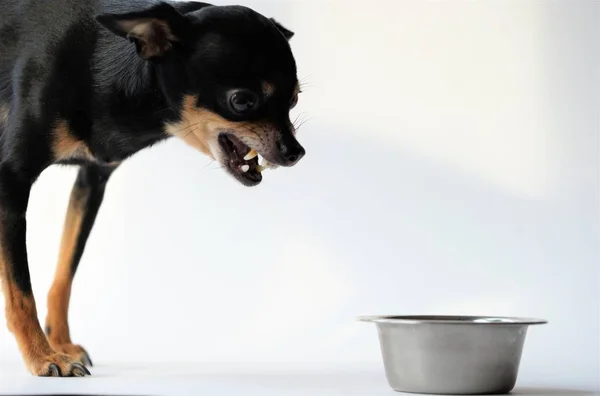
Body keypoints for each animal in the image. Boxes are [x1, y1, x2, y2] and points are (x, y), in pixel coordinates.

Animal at [0, 0, 302, 378]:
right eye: (242, 102)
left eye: (294, 100)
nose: (296, 152)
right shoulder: (10, 181)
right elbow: (19, 289)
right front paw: (42, 357)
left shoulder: (91, 183)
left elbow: (65, 273)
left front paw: (61, 344)